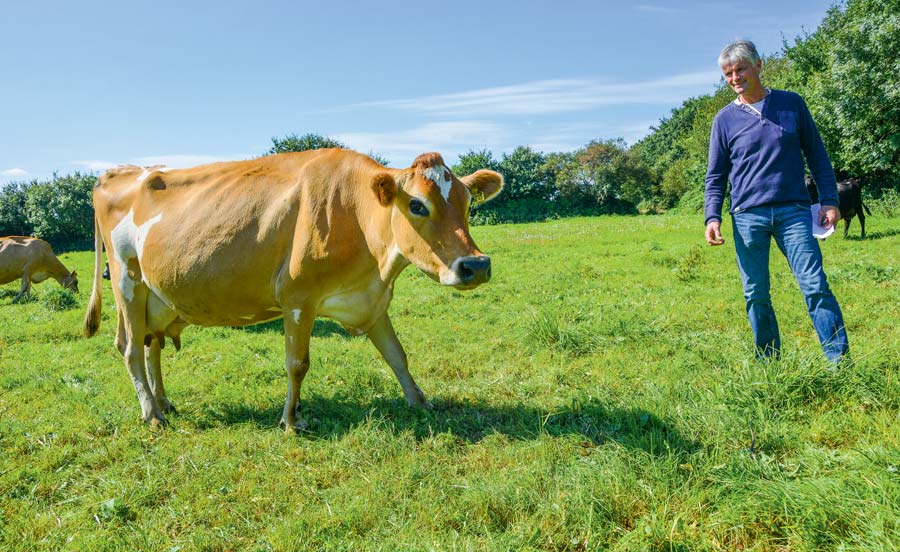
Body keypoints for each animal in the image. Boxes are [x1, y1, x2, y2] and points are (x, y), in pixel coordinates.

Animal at [82, 150, 506, 432]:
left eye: (468, 201)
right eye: (417, 205)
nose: (476, 265)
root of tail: (115, 173)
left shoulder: (371, 302)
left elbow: (397, 356)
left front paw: (419, 401)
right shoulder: (299, 300)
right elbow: (297, 364)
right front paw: (290, 419)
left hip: (158, 297)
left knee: (151, 346)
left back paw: (164, 402)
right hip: (127, 283)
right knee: (130, 347)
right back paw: (151, 413)